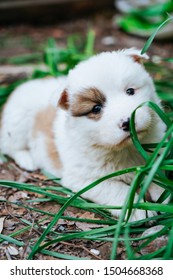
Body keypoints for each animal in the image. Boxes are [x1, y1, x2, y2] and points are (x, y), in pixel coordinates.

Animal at [0, 49, 166, 221]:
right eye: (96, 108)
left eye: (130, 91)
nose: (127, 122)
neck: (126, 149)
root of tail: (25, 85)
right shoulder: (85, 179)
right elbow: (117, 189)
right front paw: (137, 209)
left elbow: (158, 175)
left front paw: (162, 195)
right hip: (17, 123)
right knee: (10, 146)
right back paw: (27, 159)